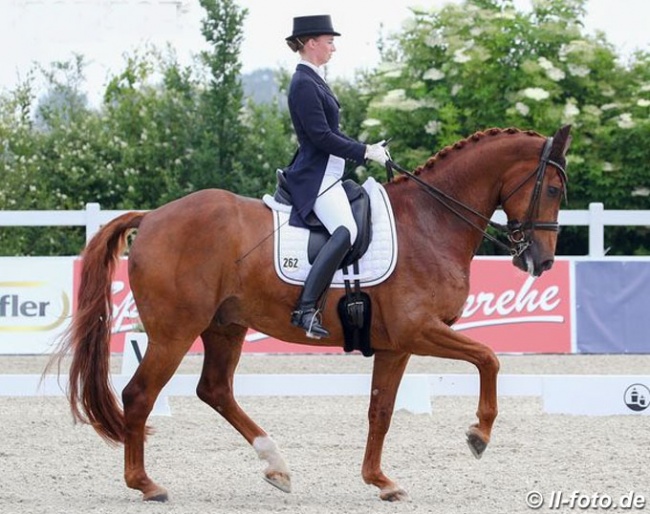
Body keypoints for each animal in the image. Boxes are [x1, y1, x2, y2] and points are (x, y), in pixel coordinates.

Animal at [49, 124, 568, 500]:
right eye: (553, 190)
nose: (540, 262)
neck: (430, 222)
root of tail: (153, 216)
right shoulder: (419, 331)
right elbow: (489, 359)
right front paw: (479, 434)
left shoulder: (396, 345)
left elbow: (381, 410)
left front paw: (381, 481)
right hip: (174, 333)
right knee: (138, 395)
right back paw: (146, 484)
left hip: (225, 326)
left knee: (214, 389)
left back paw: (276, 466)